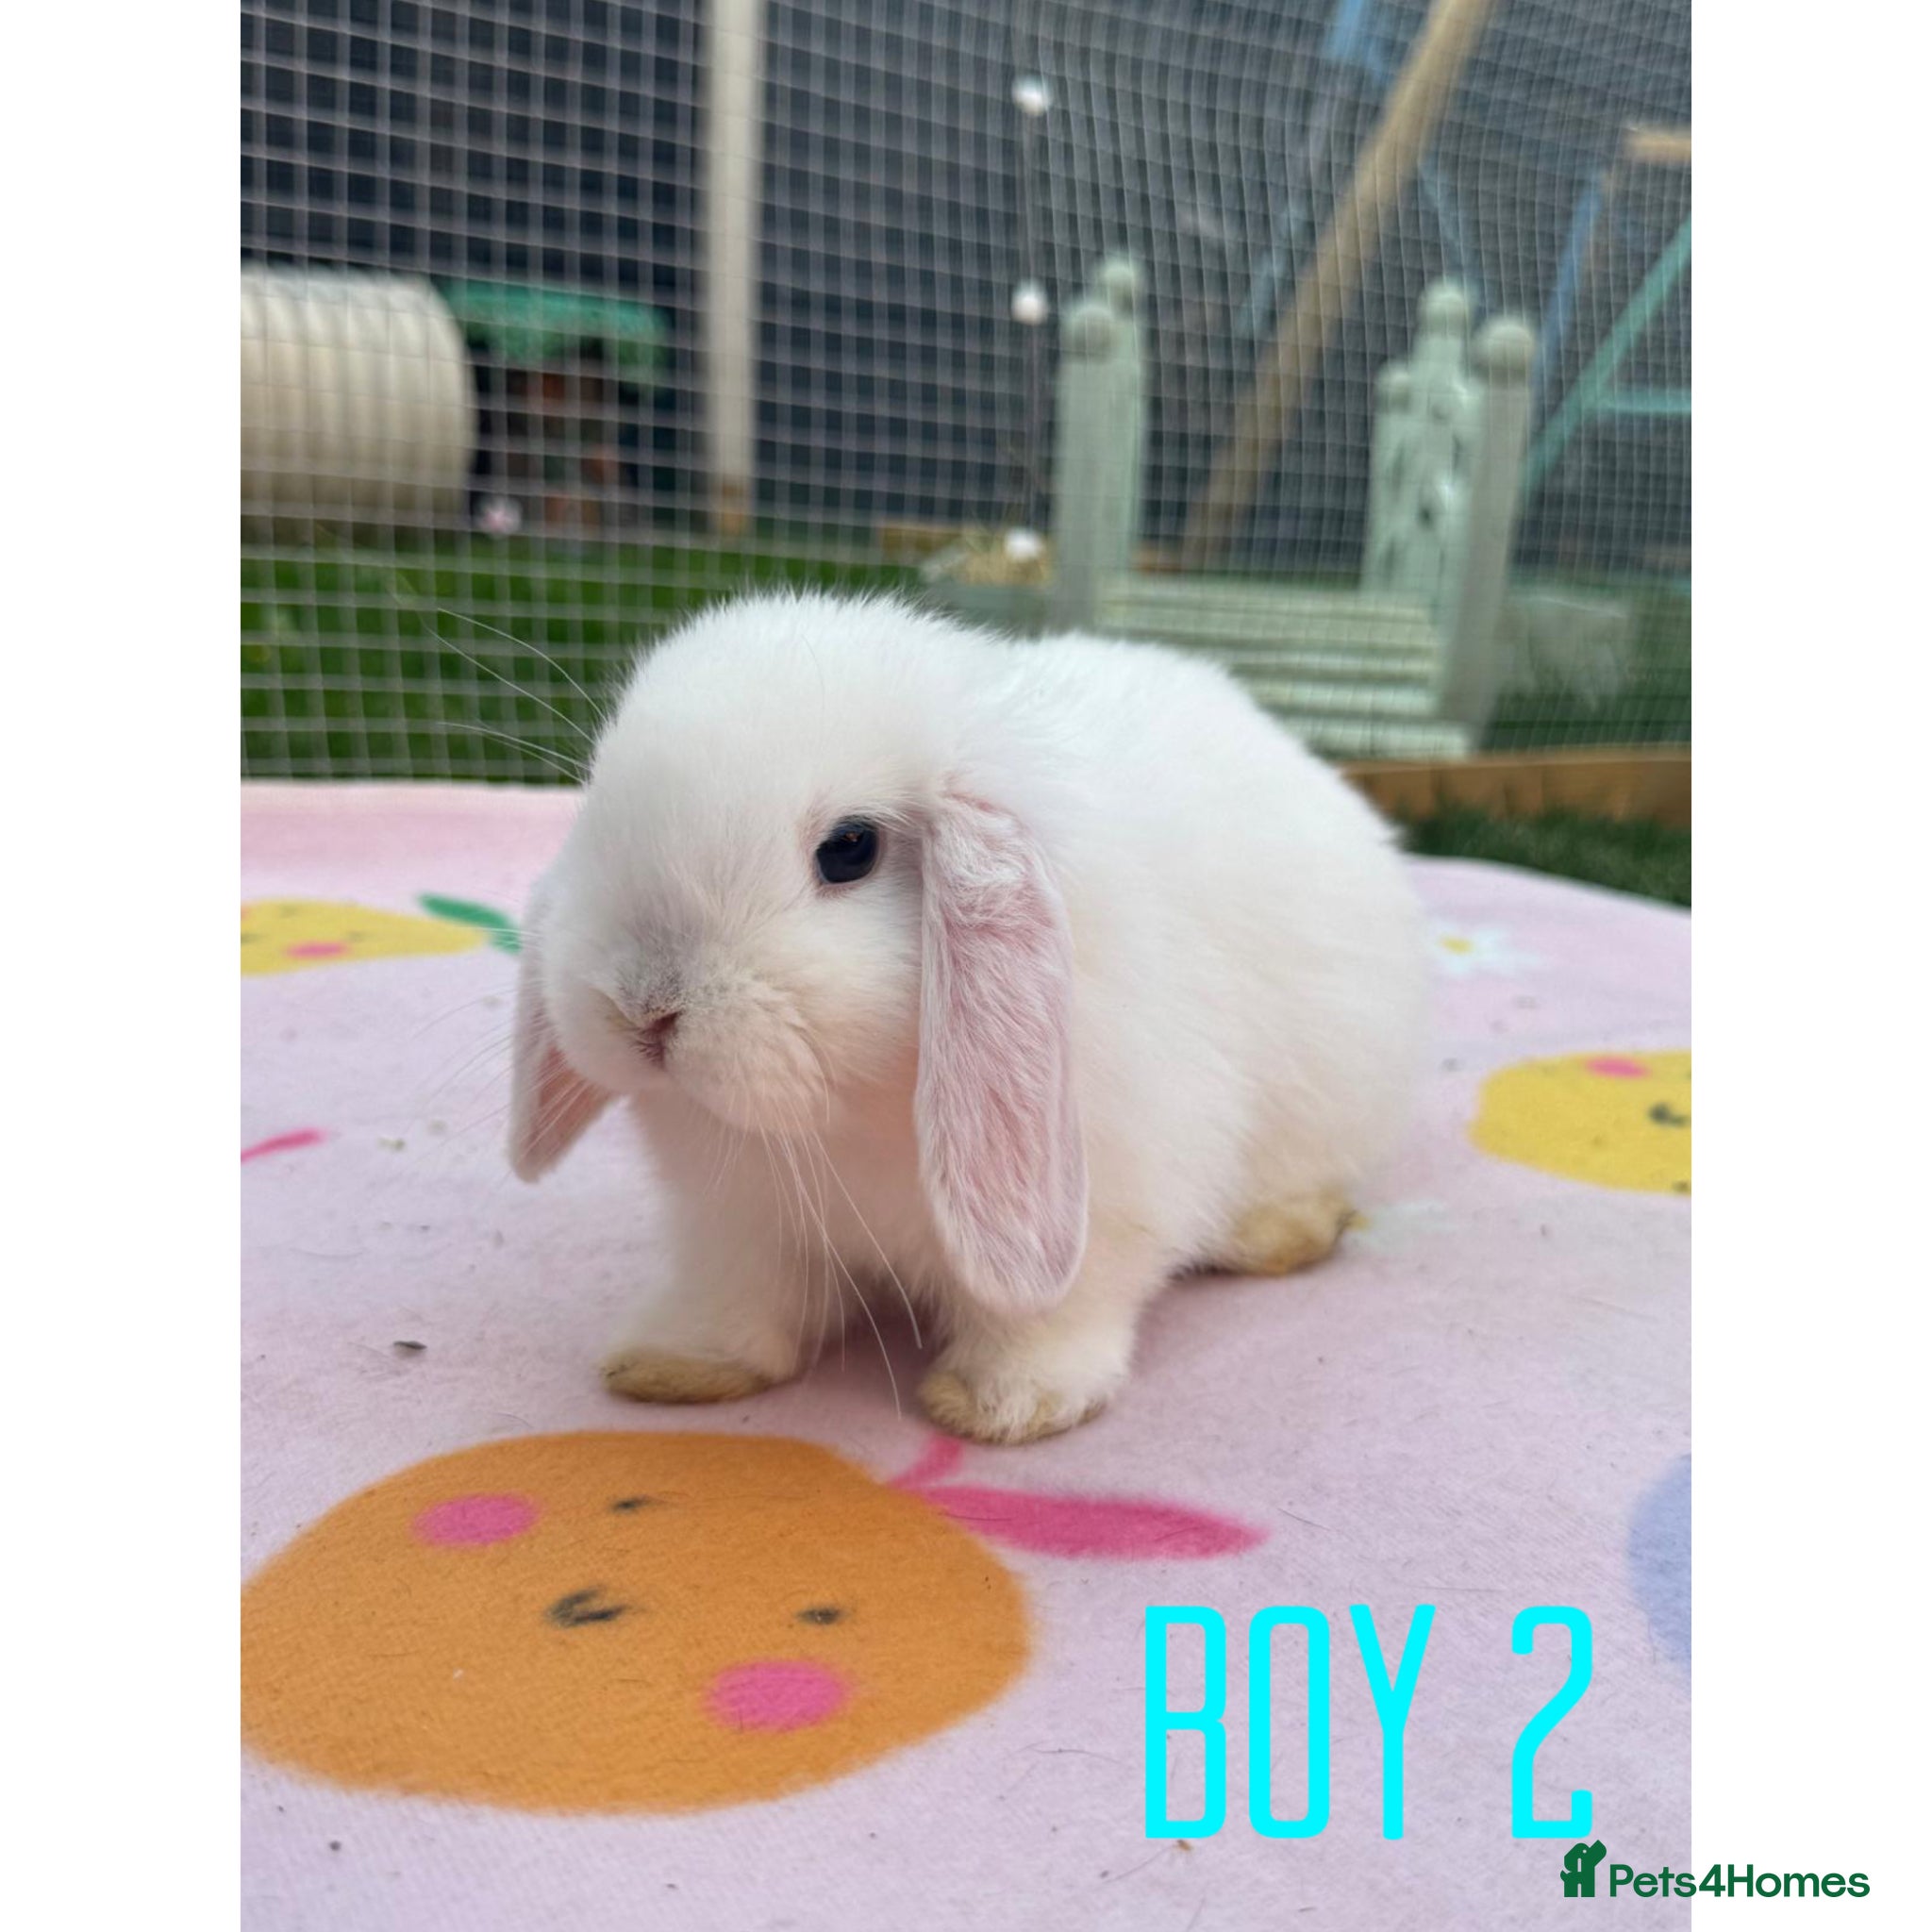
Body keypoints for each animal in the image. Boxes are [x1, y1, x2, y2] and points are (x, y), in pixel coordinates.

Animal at [509, 591, 1428, 1443]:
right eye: (597, 811)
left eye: (849, 849)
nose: (643, 1007)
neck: (836, 1122)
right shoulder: (735, 1223)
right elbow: (737, 1296)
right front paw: (674, 1364)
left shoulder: (1105, 1199)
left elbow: (1054, 1312)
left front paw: (1006, 1406)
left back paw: (1275, 1234)